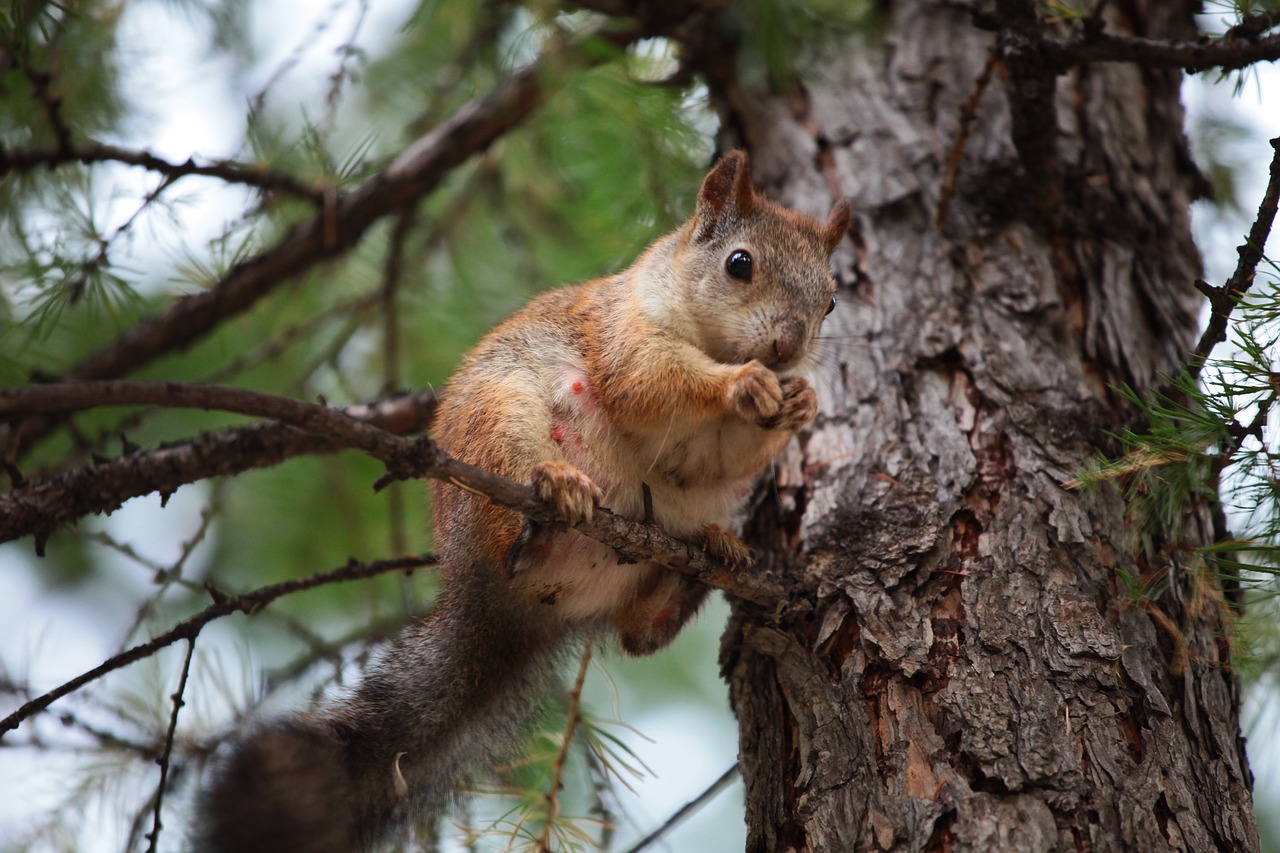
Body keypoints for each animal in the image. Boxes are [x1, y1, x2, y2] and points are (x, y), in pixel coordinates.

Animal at [197, 150, 851, 853]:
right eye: (739, 263)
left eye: (832, 300)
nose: (788, 347)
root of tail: (491, 598)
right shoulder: (623, 335)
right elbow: (649, 384)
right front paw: (742, 384)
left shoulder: (716, 453)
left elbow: (721, 457)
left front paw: (800, 402)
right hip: (499, 423)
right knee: (524, 520)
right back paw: (551, 502)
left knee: (639, 632)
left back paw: (704, 558)